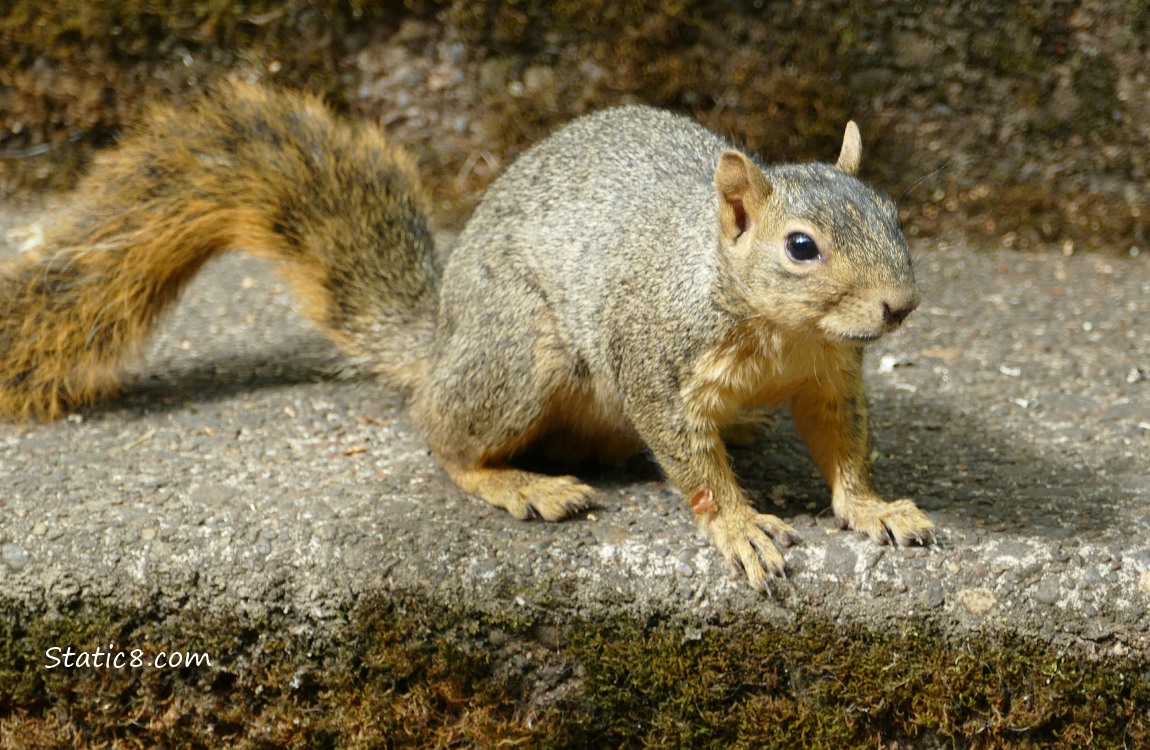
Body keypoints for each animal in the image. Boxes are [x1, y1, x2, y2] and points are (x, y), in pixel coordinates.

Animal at [0, 81, 935, 590]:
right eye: (801, 247)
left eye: (894, 212)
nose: (899, 306)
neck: (780, 333)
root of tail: (441, 342)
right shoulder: (652, 358)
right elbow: (690, 461)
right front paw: (740, 527)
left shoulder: (831, 375)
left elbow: (845, 446)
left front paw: (874, 507)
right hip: (520, 359)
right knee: (441, 436)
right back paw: (517, 482)